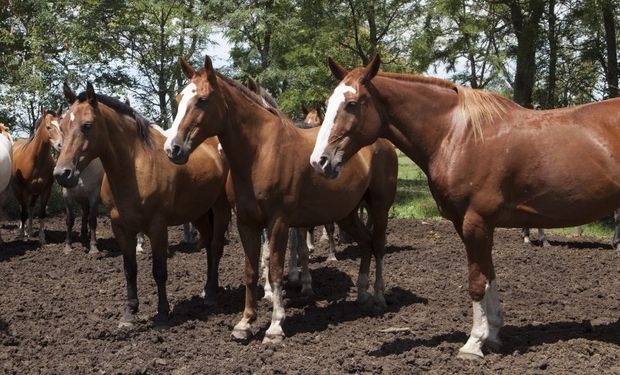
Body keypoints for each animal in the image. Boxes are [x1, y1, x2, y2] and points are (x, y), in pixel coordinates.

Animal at [11, 106, 57, 244]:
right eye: (48, 127)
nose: (60, 144)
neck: (35, 160)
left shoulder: (46, 190)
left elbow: (41, 213)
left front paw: (42, 237)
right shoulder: (22, 189)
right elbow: (23, 212)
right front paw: (21, 235)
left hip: (34, 192)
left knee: (30, 207)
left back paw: (30, 231)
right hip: (18, 191)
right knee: (23, 208)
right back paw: (23, 230)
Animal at [53, 83, 231, 326]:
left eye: (87, 125)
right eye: (61, 126)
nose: (62, 174)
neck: (136, 168)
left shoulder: (157, 227)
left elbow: (159, 271)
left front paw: (163, 313)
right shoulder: (121, 228)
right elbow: (130, 269)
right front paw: (129, 312)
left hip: (220, 209)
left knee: (215, 247)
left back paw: (211, 295)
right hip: (200, 213)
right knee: (209, 246)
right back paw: (206, 290)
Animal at [165, 54, 398, 346]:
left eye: (203, 100)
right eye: (179, 97)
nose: (172, 148)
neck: (260, 152)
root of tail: (381, 141)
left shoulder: (278, 222)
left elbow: (276, 269)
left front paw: (275, 326)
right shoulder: (246, 223)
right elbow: (251, 270)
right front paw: (245, 323)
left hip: (379, 207)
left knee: (377, 245)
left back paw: (378, 297)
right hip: (347, 213)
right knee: (366, 244)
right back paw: (363, 295)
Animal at [310, 56, 620, 362]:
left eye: (351, 104)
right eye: (328, 102)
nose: (319, 161)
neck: (458, 135)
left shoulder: (476, 223)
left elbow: (476, 282)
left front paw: (474, 343)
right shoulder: (470, 225)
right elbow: (489, 277)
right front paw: (493, 335)